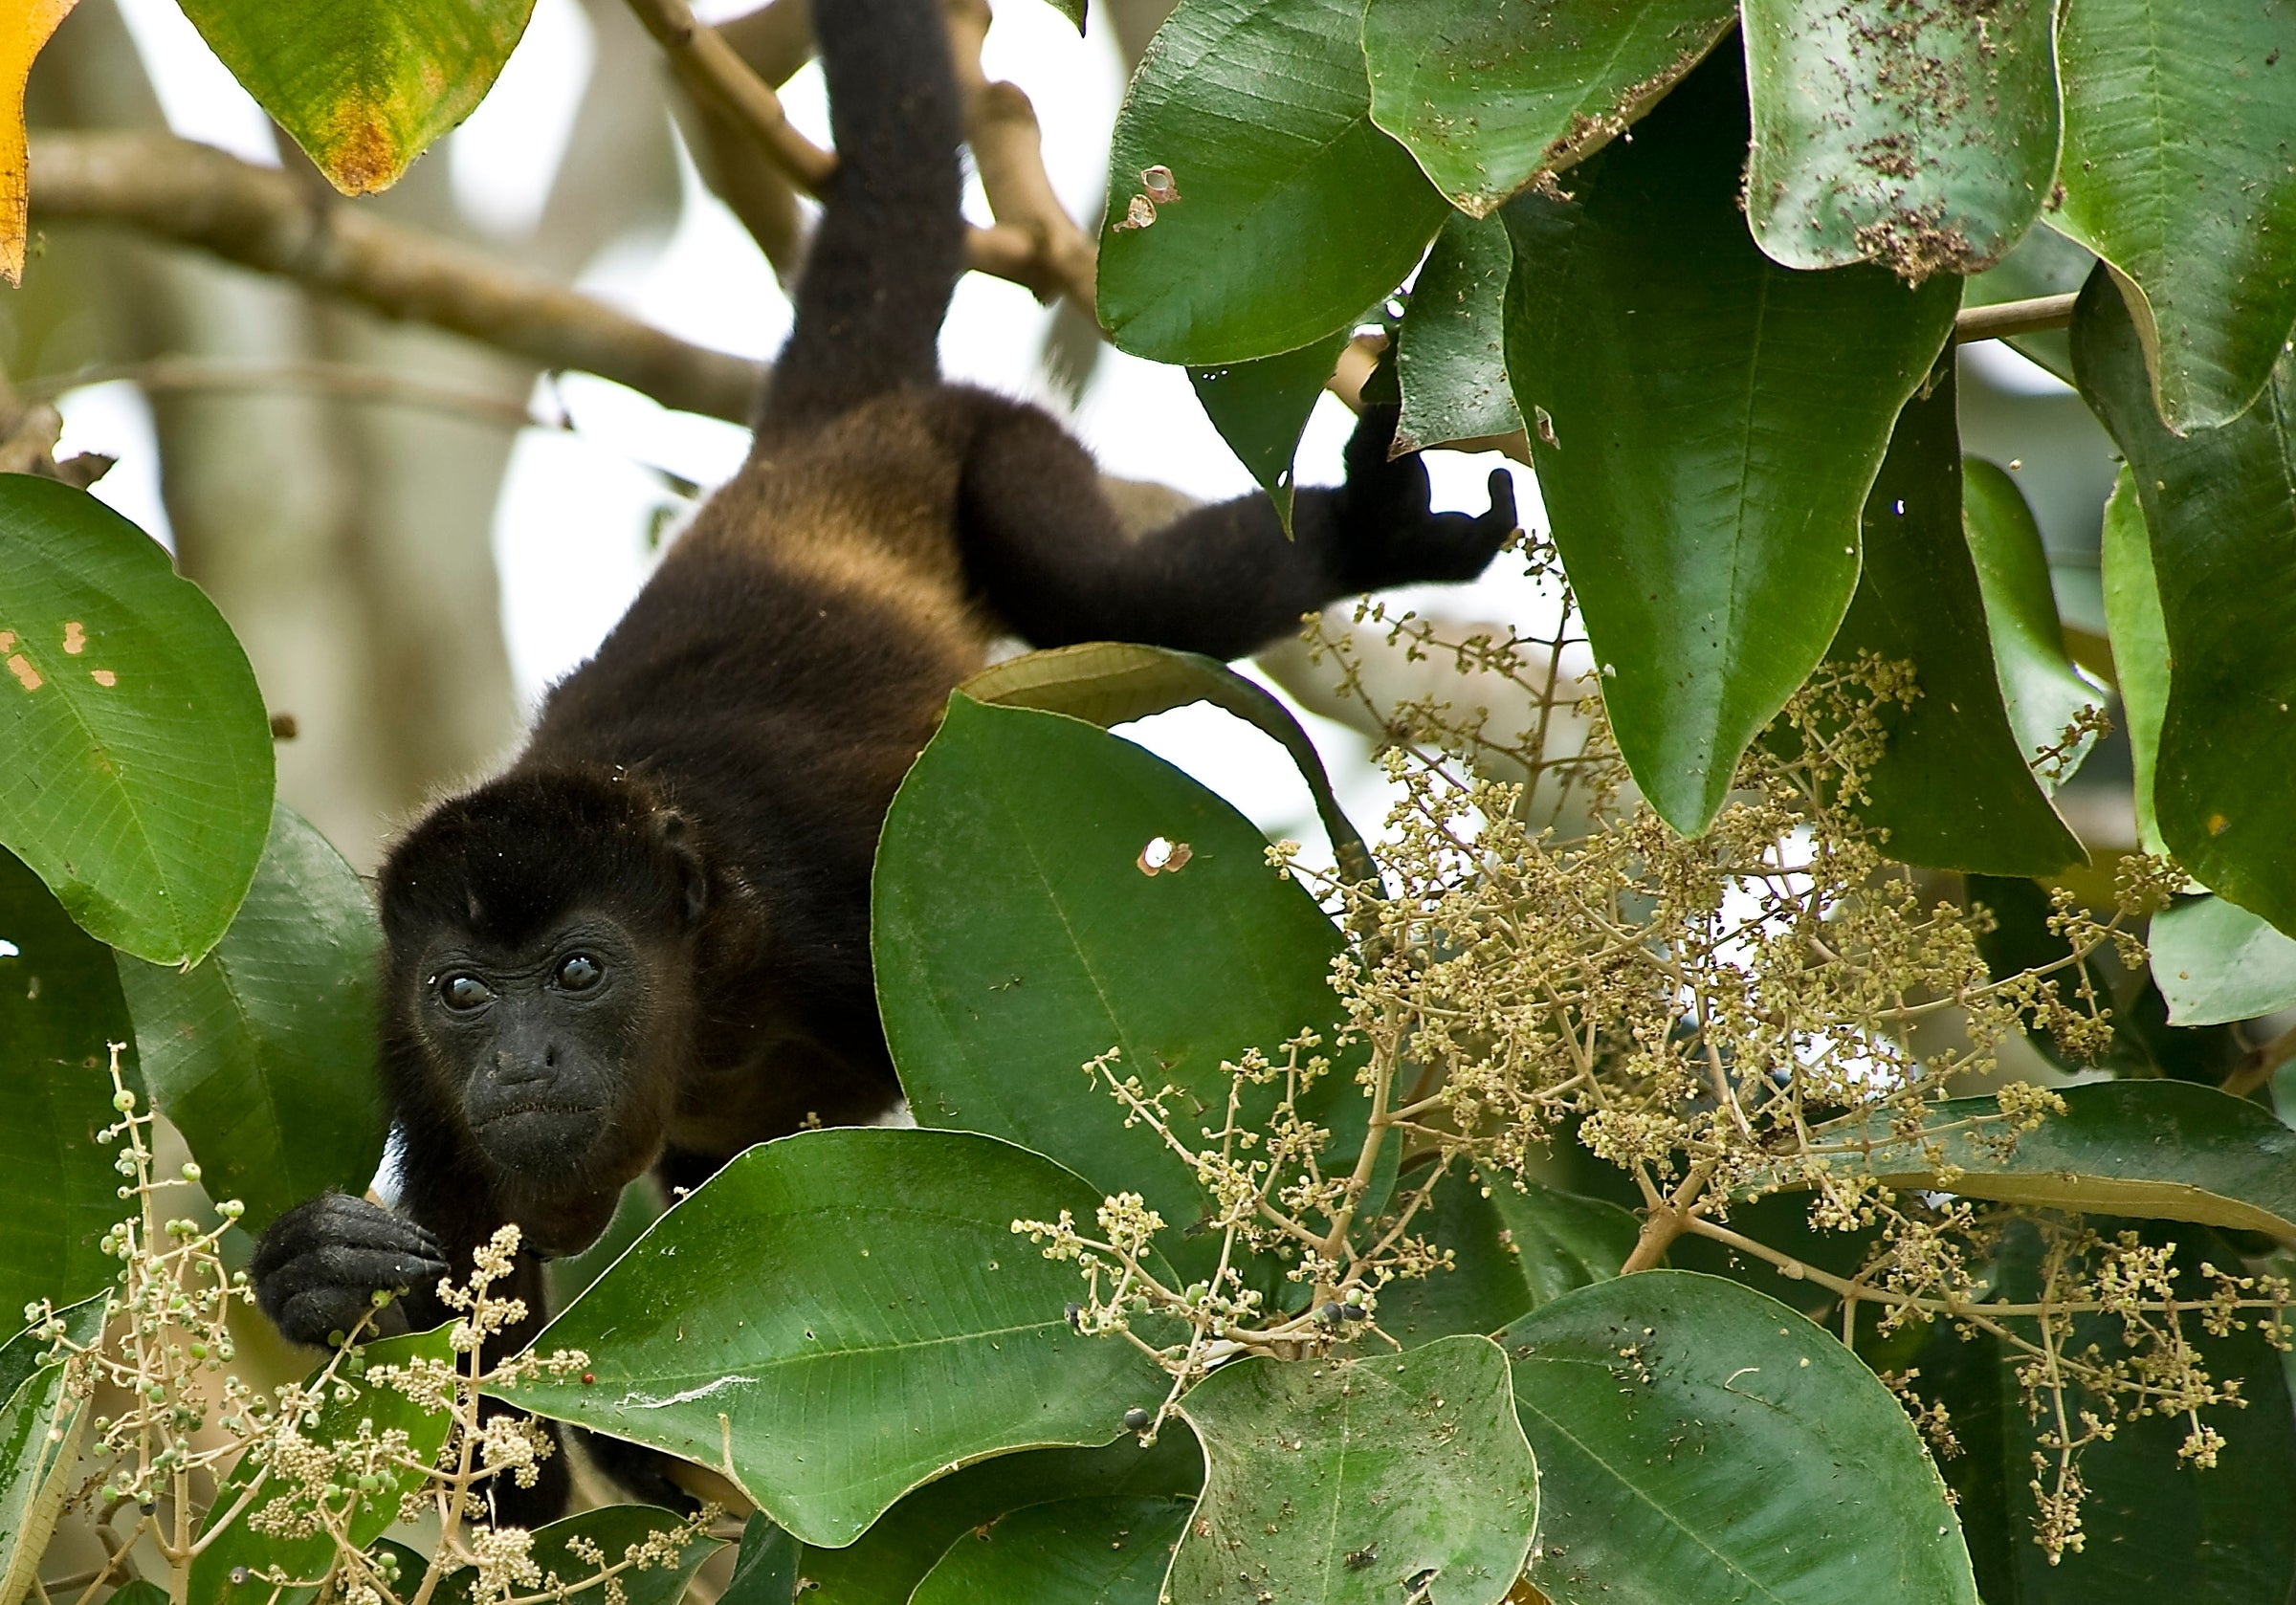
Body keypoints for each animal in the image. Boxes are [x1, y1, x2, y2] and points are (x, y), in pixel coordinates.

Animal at [251, 0, 1515, 1515]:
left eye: (578, 972)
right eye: (460, 993)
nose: (520, 1062)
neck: (698, 988)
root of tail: (808, 454)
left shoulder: (832, 913)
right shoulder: (415, 1081)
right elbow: (500, 1472)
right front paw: (322, 1277)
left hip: (990, 446)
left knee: (1110, 592)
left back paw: (1353, 532)